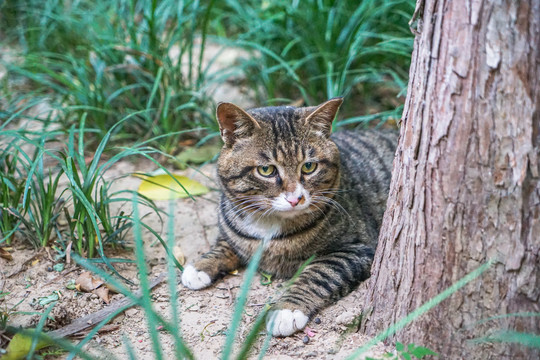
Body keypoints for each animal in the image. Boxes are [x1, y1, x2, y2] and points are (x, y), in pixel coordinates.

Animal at [181, 97, 396, 336]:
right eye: (266, 170)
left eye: (309, 166)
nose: (295, 199)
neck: (268, 223)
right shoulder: (231, 228)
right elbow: (225, 244)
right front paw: (201, 265)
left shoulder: (356, 249)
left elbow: (317, 275)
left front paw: (287, 309)